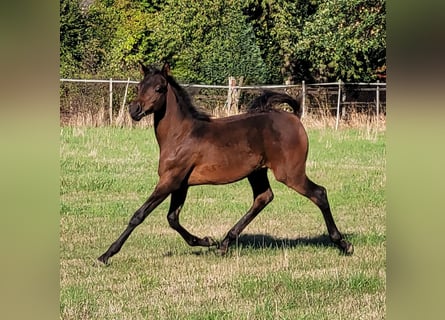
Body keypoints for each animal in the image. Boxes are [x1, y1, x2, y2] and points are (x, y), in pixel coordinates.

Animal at [97, 63, 350, 264]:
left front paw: (106, 254)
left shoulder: (170, 180)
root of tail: (294, 117)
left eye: (159, 88)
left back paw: (343, 244)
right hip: (257, 172)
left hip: (290, 173)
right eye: (139, 86)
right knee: (263, 198)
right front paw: (205, 240)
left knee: (319, 193)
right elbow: (172, 218)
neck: (181, 135)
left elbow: (139, 215)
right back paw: (224, 243)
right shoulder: (181, 184)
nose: (134, 110)